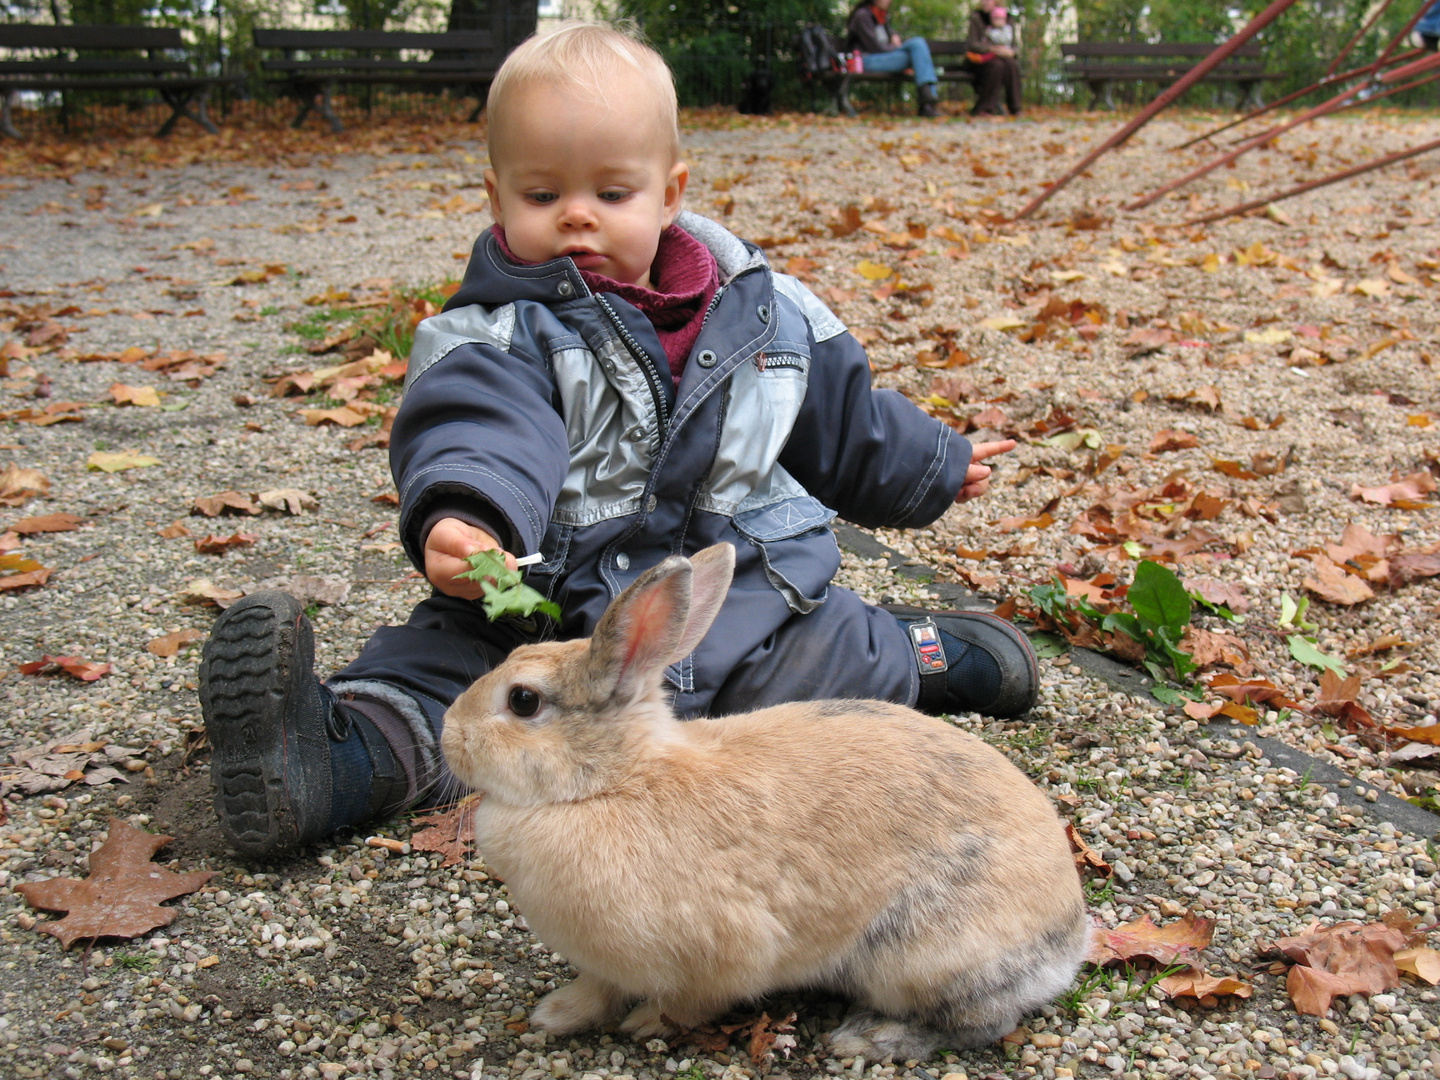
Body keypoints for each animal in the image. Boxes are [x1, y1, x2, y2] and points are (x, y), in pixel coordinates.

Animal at [443, 544, 1082, 1059]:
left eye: (523, 701)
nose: (450, 734)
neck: (609, 783)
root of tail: (1070, 939)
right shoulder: (604, 964)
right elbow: (597, 989)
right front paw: (555, 1015)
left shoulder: (716, 960)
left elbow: (687, 1002)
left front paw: (645, 1025)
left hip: (923, 958)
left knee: (980, 1022)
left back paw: (870, 1039)